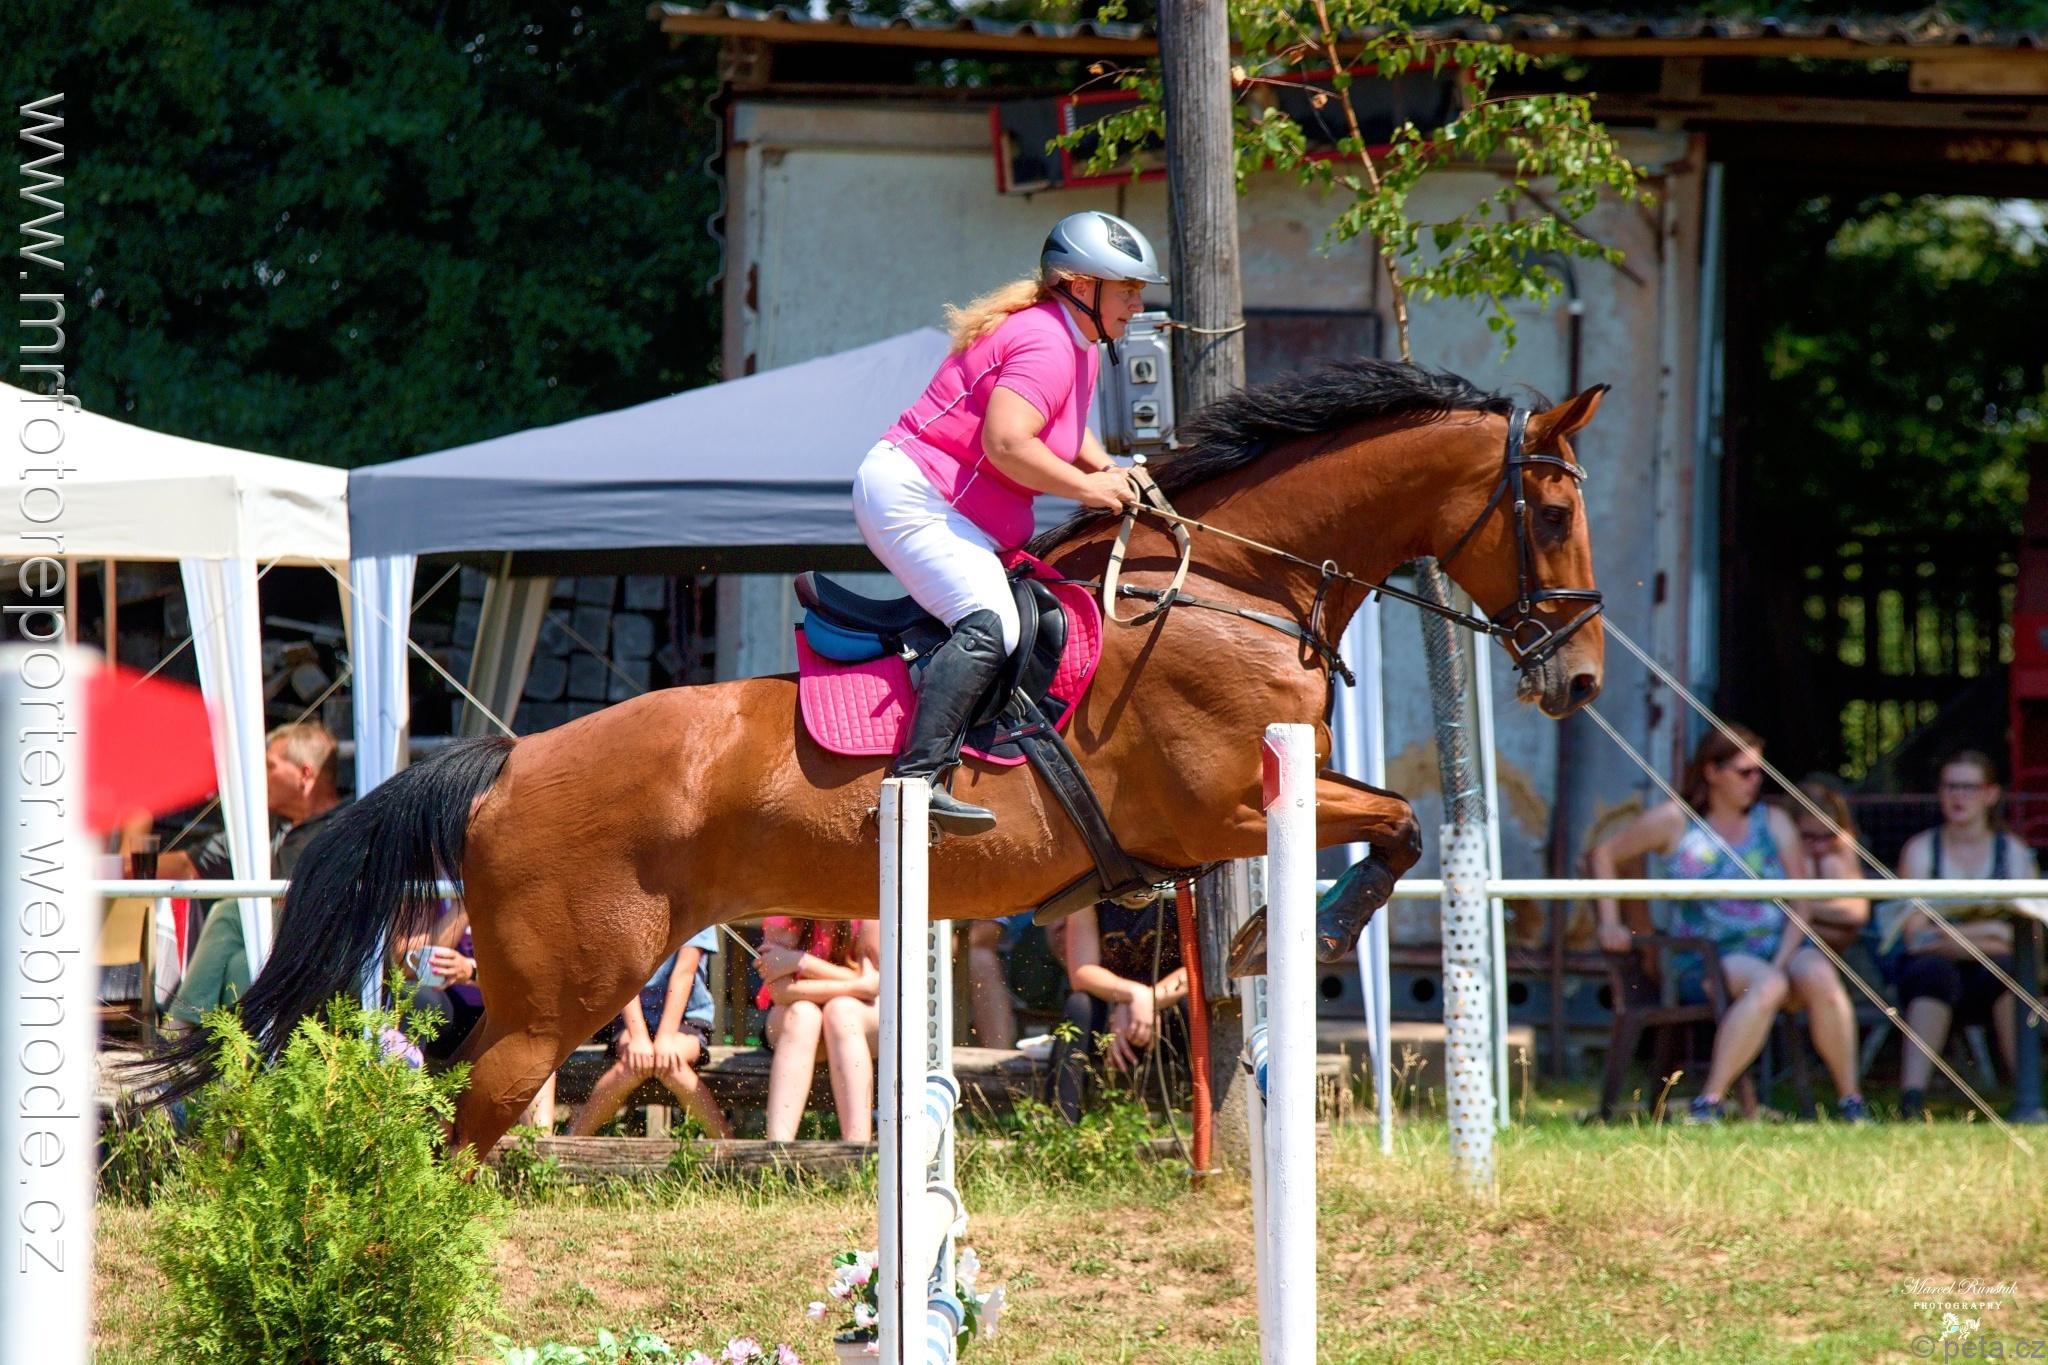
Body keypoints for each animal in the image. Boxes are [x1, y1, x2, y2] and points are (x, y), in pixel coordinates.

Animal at [146, 359, 1609, 1159]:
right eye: (1549, 509)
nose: (1583, 676)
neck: (1232, 584)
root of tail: (500, 766)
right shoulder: (1217, 810)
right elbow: (1398, 821)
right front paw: (1280, 943)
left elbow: (1396, 824)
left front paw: (1264, 946)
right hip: (562, 999)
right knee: (462, 1127)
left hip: (516, 991)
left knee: (416, 1066)